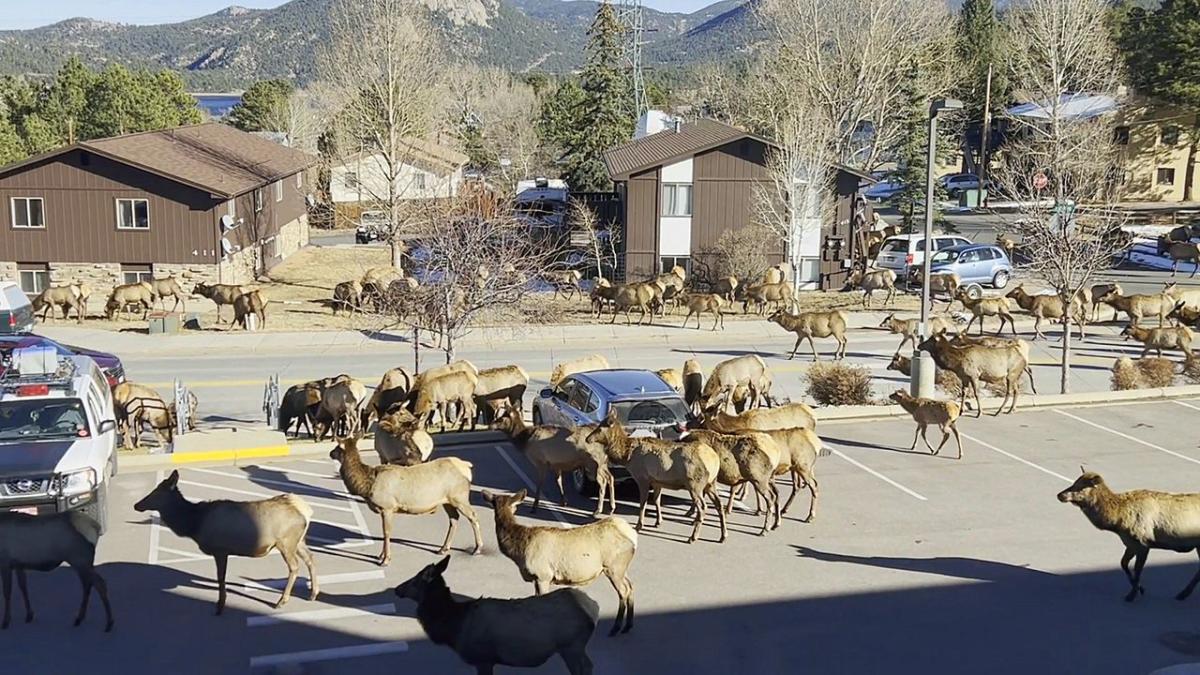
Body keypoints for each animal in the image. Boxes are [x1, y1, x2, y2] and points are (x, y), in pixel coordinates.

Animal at [135, 470, 319, 612]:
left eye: (157, 492)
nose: (137, 505)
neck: (194, 524)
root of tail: (306, 511)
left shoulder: (220, 549)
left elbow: (220, 577)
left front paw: (220, 605)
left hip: (286, 542)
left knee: (294, 566)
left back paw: (281, 601)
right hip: (299, 541)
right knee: (310, 558)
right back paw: (313, 593)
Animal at [328, 437, 482, 562]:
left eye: (337, 447)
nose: (330, 453)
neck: (368, 485)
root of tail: (467, 466)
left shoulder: (387, 507)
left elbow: (386, 532)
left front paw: (385, 559)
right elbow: (385, 533)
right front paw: (380, 556)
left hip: (460, 496)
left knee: (473, 516)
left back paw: (477, 548)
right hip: (447, 500)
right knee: (454, 519)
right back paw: (443, 548)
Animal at [393, 554, 600, 667]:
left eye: (416, 579)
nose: (397, 588)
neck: (454, 626)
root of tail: (593, 608)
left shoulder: (482, 658)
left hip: (572, 647)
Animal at [480, 485, 638, 634]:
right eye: (495, 503)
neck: (520, 550)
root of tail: (632, 535)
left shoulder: (543, 575)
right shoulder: (537, 578)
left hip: (614, 567)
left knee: (623, 591)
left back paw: (616, 628)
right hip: (622, 568)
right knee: (630, 586)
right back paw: (628, 625)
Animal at [1060, 470, 1200, 600]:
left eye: (1080, 486)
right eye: (1074, 482)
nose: (1059, 495)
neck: (1117, 521)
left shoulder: (1143, 543)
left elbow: (1137, 570)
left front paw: (1132, 595)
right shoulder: (1130, 543)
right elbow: (1123, 563)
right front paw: (1140, 589)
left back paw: (1183, 593)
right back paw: (1183, 593)